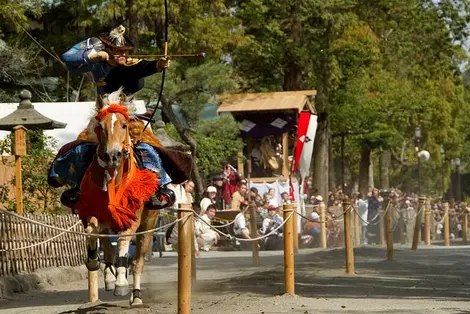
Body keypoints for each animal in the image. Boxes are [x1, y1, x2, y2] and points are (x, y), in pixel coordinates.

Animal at [75, 89, 160, 306]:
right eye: (100, 126)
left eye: (123, 125)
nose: (112, 155)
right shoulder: (91, 213)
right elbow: (91, 231)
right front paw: (95, 262)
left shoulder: (132, 219)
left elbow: (123, 240)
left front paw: (121, 282)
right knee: (106, 242)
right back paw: (109, 274)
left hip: (149, 223)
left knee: (138, 261)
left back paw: (136, 295)